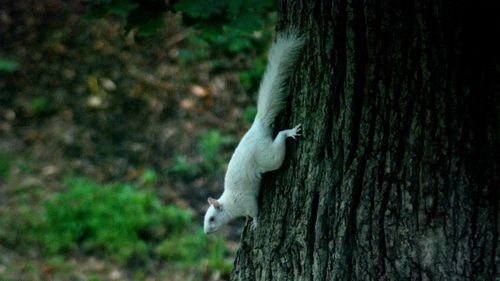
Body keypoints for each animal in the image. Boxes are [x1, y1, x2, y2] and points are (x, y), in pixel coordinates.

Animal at [202, 29, 304, 233]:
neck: (229, 204)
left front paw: (255, 221)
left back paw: (288, 133)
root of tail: (256, 127)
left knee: (277, 147)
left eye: (212, 219)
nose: (206, 232)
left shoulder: (245, 201)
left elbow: (254, 210)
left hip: (267, 156)